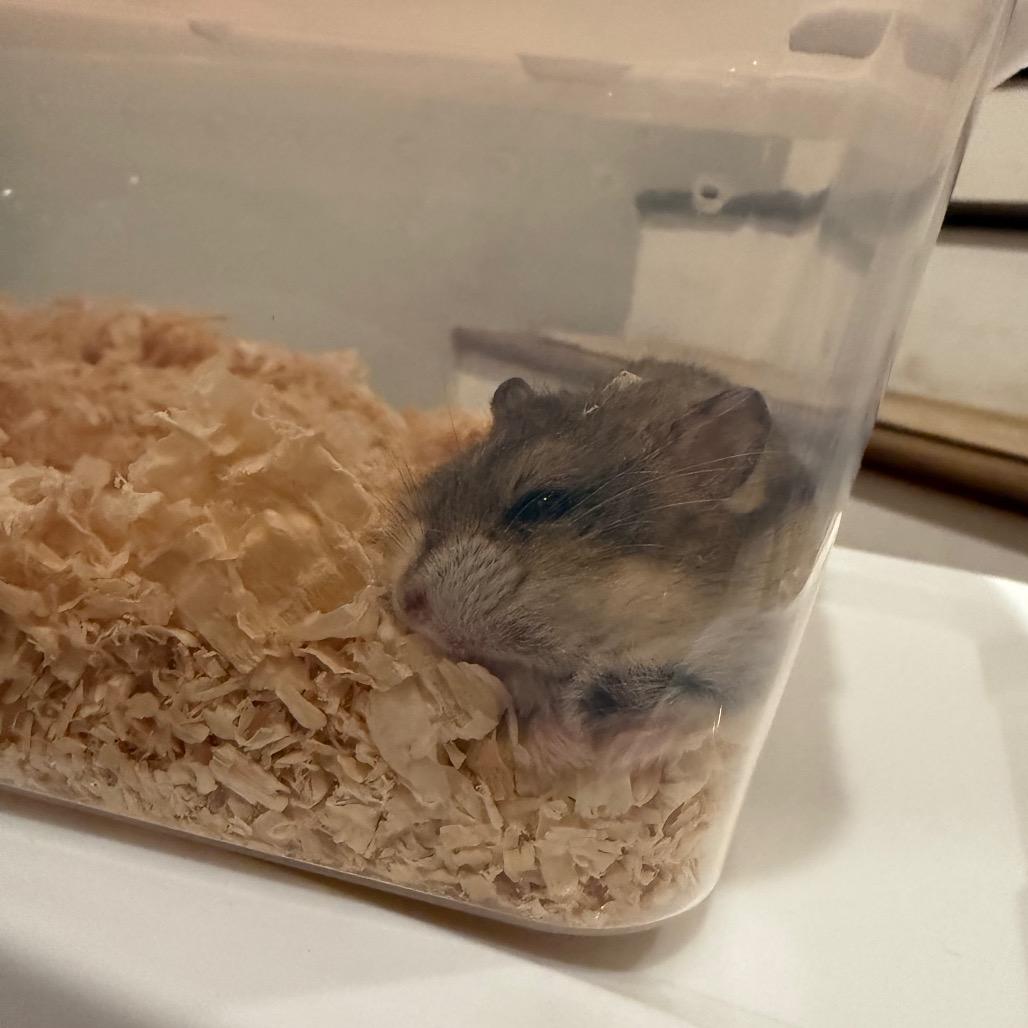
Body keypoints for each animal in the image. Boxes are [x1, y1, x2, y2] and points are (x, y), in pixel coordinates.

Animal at [391, 359, 816, 767]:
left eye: (542, 504)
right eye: (445, 476)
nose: (406, 601)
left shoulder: (748, 659)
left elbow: (693, 708)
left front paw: (603, 752)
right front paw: (548, 744)